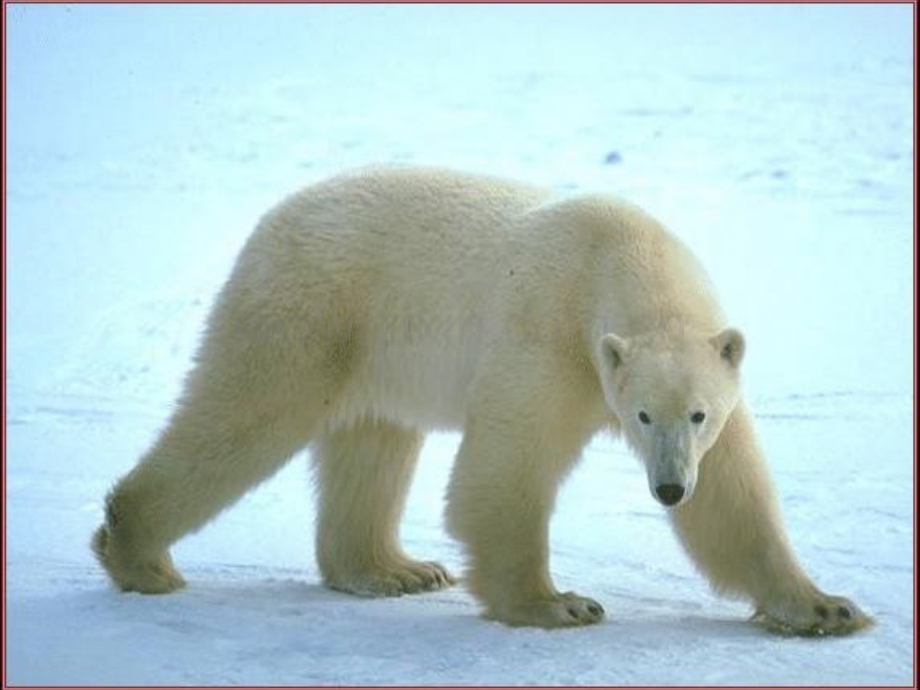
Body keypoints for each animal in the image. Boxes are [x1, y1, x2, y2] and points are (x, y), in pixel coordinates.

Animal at [93, 165, 868, 636]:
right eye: (643, 415)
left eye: (697, 415)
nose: (669, 488)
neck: (618, 255)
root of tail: (271, 219)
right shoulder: (549, 335)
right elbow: (507, 467)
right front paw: (559, 603)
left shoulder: (706, 372)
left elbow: (734, 497)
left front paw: (826, 608)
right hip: (311, 312)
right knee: (246, 413)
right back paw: (139, 554)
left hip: (373, 347)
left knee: (373, 446)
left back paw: (395, 570)